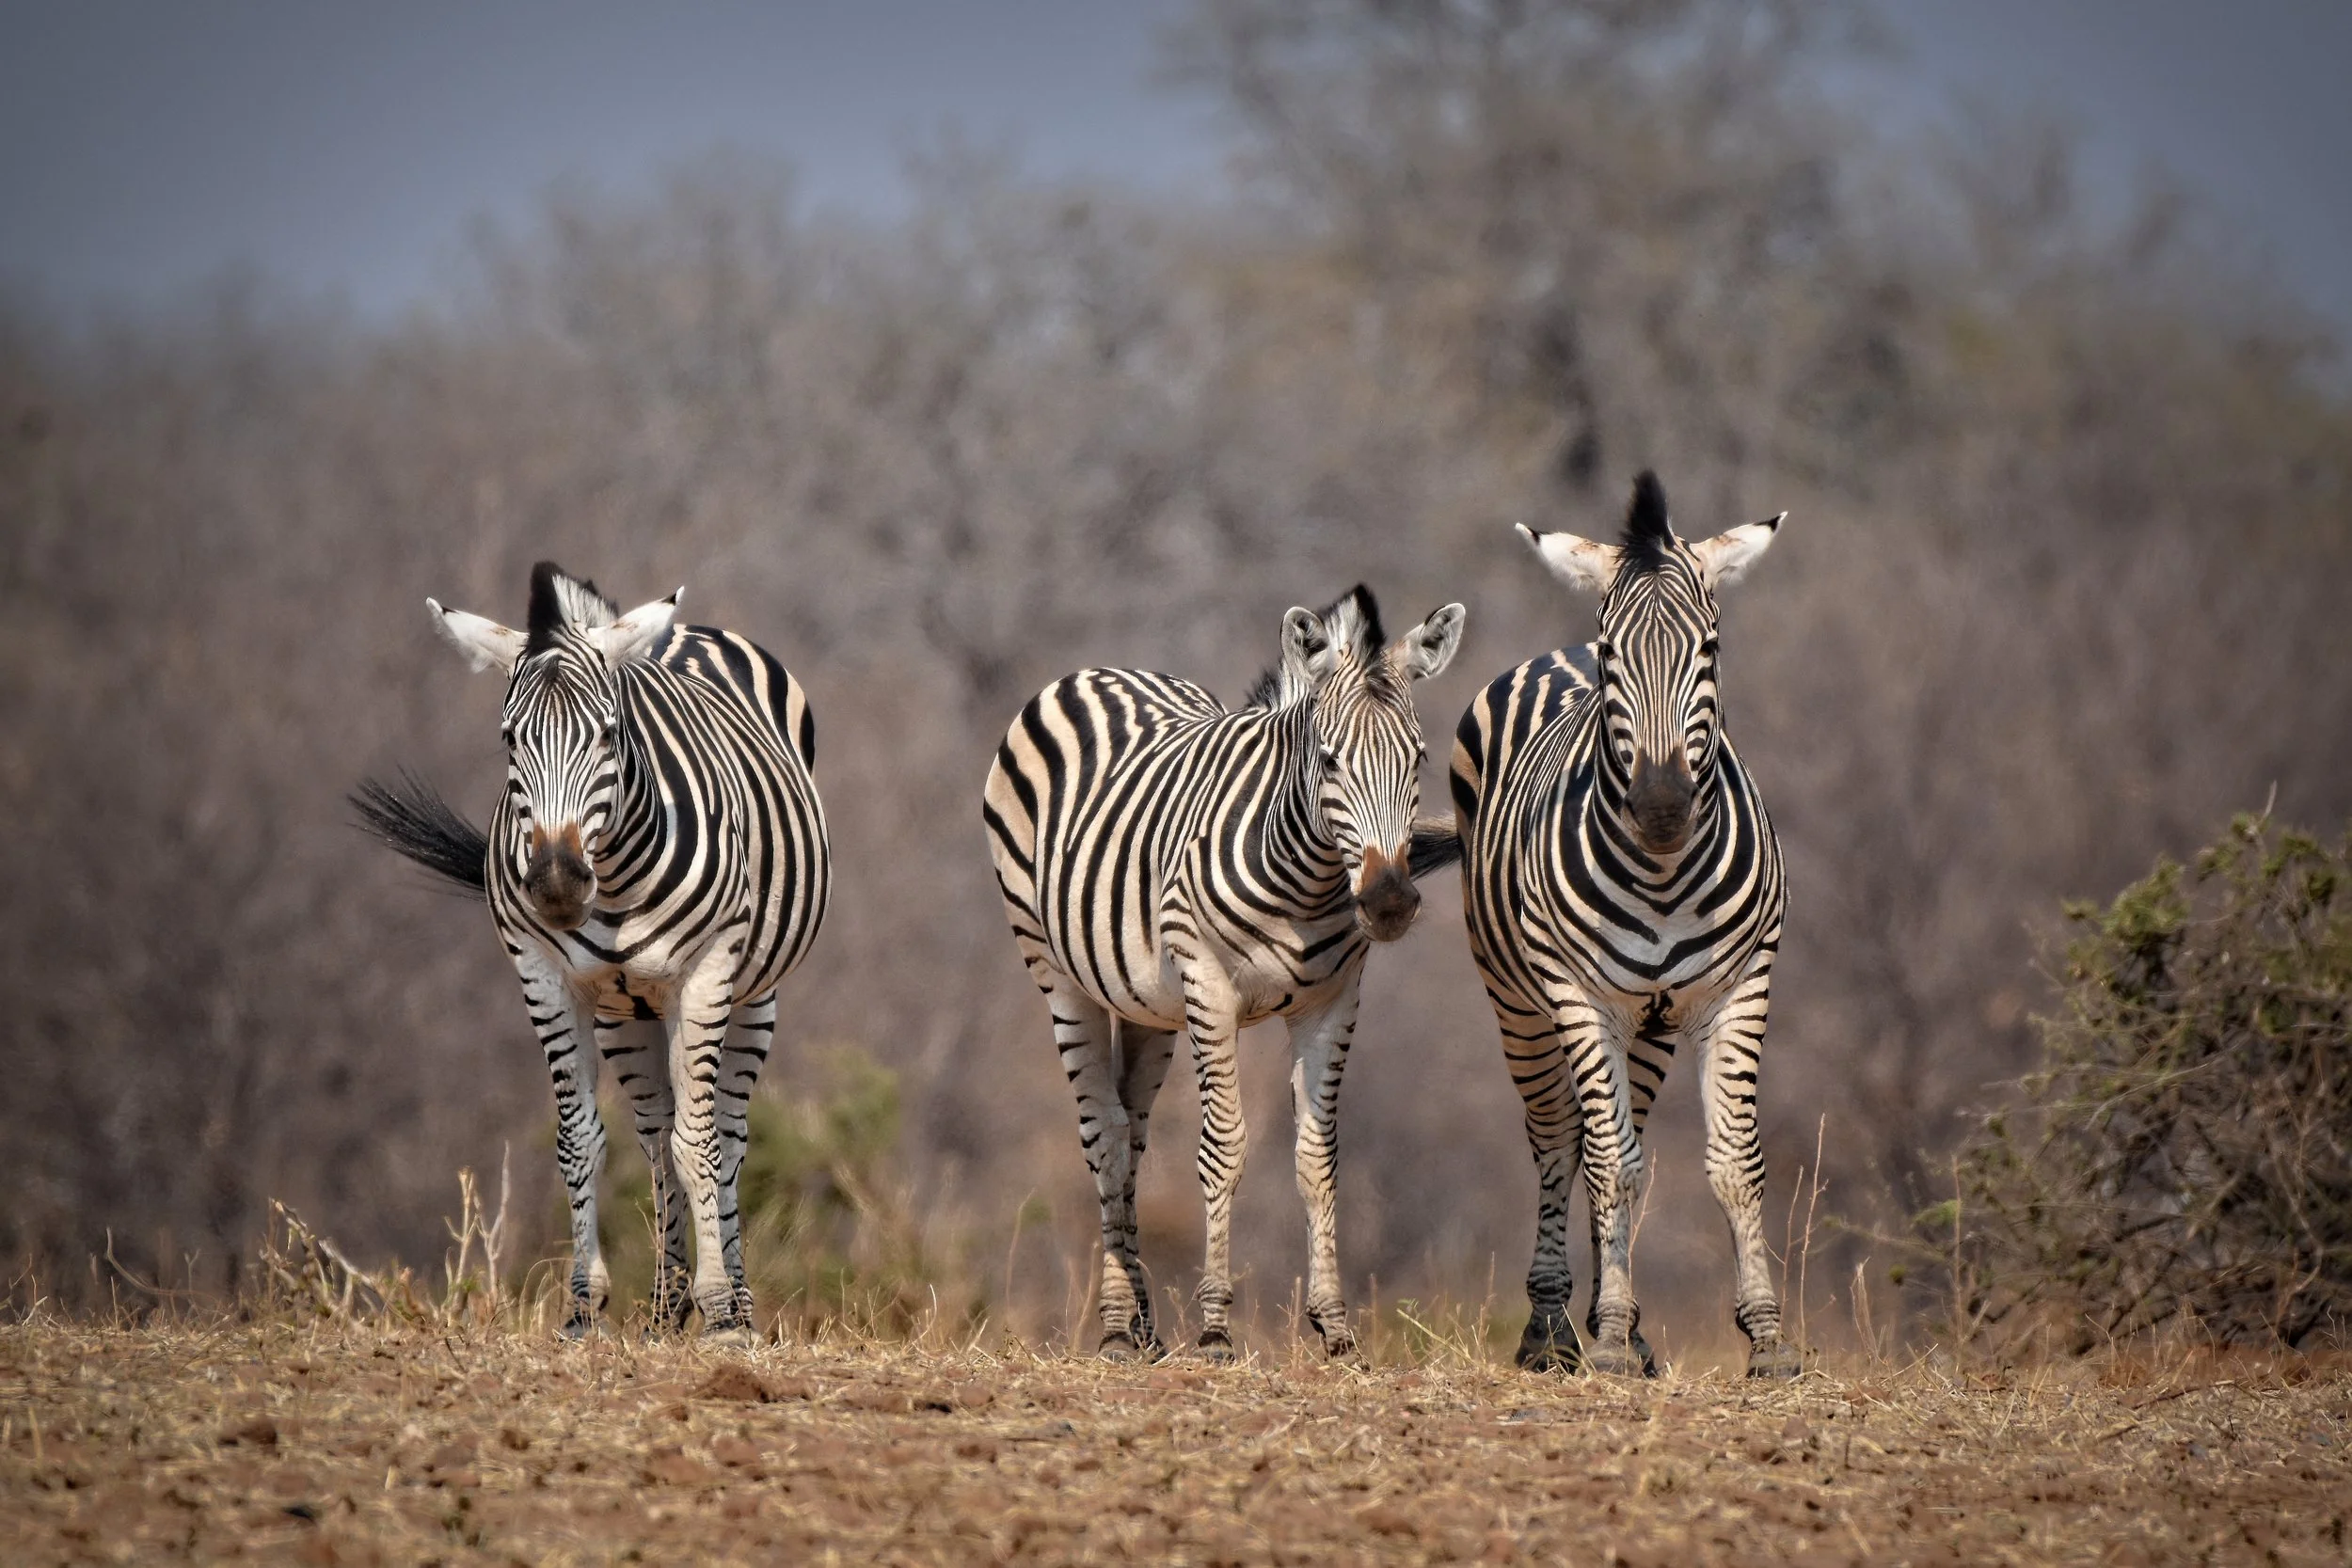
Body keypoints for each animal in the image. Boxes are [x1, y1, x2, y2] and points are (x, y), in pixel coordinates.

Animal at [355, 562, 829, 1341]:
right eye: (510, 739)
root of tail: (684, 630)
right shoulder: (545, 977)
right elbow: (582, 1139)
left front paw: (722, 1312)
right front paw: (583, 1306)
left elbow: (702, 1144)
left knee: (725, 1134)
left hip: (755, 993)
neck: (617, 879)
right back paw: (666, 1306)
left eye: (609, 734)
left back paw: (736, 1301)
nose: (555, 878)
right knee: (654, 1136)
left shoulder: (707, 975)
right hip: (624, 1014)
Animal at [983, 587, 1466, 1363]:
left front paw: (1335, 1327)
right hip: (1056, 970)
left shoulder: (1335, 1000)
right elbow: (1224, 1145)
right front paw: (1214, 1326)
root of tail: (1098, 670)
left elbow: (1316, 1153)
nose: (1390, 901)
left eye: (1418, 758)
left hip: (1148, 1005)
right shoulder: (1209, 986)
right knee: (1102, 1132)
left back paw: (1142, 1326)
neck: (1305, 876)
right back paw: (1115, 1327)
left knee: (1131, 1130)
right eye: (1329, 760)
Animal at [1448, 472, 1799, 1378]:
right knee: (1556, 1137)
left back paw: (1627, 1325)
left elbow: (1733, 1160)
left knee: (1622, 1133)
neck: (1665, 873)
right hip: (1520, 1002)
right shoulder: (1582, 997)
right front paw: (1602, 1336)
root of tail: (1553, 651)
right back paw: (1552, 1328)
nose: (1663, 805)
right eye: (1614, 658)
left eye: (1710, 649)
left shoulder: (1739, 989)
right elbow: (1606, 1160)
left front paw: (1767, 1337)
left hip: (1653, 1024)